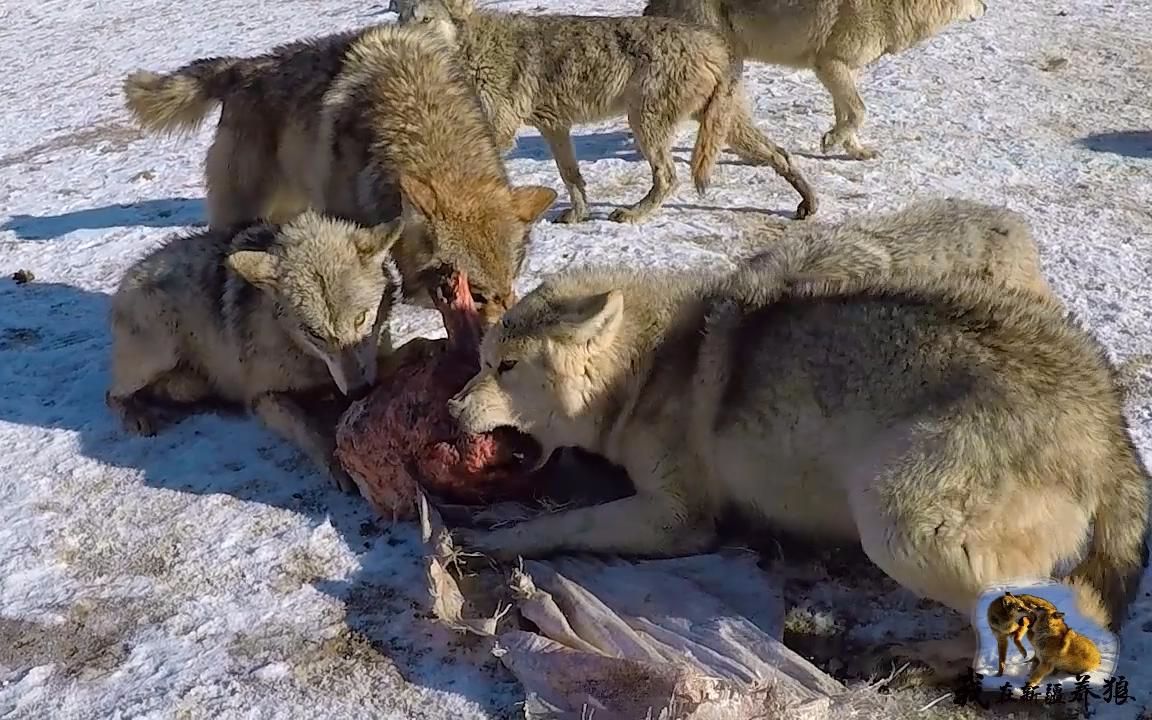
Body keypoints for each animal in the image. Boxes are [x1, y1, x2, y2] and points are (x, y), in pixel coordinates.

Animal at [107, 210, 405, 490]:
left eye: (360, 319)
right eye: (314, 333)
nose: (359, 391)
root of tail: (130, 273)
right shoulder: (262, 396)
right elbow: (307, 427)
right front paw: (334, 462)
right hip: (161, 350)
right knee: (112, 395)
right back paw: (135, 416)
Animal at [396, 0, 820, 222]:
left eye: (426, 19)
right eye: (402, 15)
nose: (401, 38)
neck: (471, 44)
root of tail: (714, 45)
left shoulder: (501, 130)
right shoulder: (555, 127)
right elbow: (571, 177)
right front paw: (576, 216)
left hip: (645, 124)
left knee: (669, 178)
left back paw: (633, 213)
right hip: (724, 128)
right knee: (781, 154)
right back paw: (808, 203)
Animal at [444, 205, 1147, 649]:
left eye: (504, 366)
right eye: (481, 362)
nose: (451, 411)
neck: (649, 369)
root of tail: (1106, 425)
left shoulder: (679, 517)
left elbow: (571, 524)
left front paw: (497, 539)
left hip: (896, 522)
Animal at [645, 0, 986, 158]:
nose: (984, 8)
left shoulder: (842, 70)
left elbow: (847, 114)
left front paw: (855, 150)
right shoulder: (828, 64)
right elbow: (860, 112)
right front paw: (832, 141)